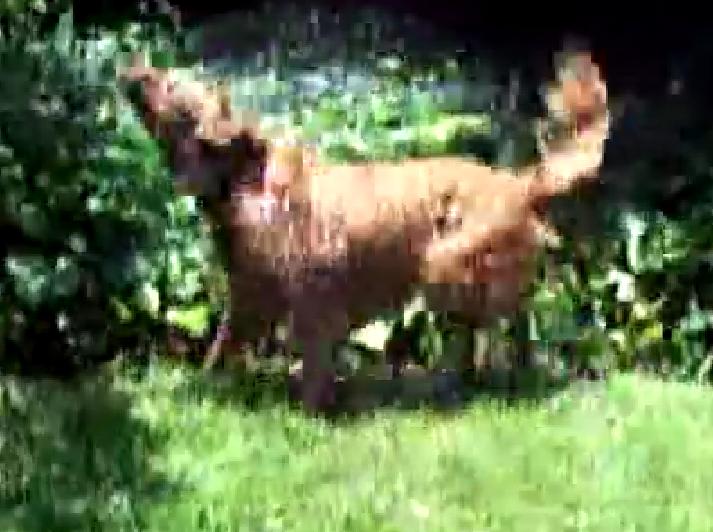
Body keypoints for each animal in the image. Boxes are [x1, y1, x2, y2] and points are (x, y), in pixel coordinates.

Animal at [119, 50, 608, 414]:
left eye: (170, 84)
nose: (131, 64)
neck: (243, 177)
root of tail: (517, 182)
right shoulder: (250, 295)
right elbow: (221, 349)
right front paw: (203, 390)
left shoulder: (311, 301)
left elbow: (311, 364)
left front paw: (310, 414)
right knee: (489, 330)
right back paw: (464, 385)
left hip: (447, 267)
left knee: (507, 324)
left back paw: (500, 382)